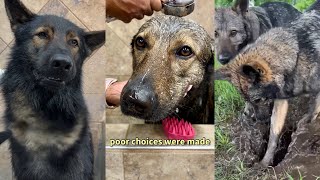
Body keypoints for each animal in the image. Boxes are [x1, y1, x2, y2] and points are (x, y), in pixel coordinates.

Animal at [215, 8, 320, 167]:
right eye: (248, 101)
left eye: (258, 99)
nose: (258, 120)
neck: (295, 58)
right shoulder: (280, 101)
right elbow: (273, 136)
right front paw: (265, 162)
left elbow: (314, 108)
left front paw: (308, 124)